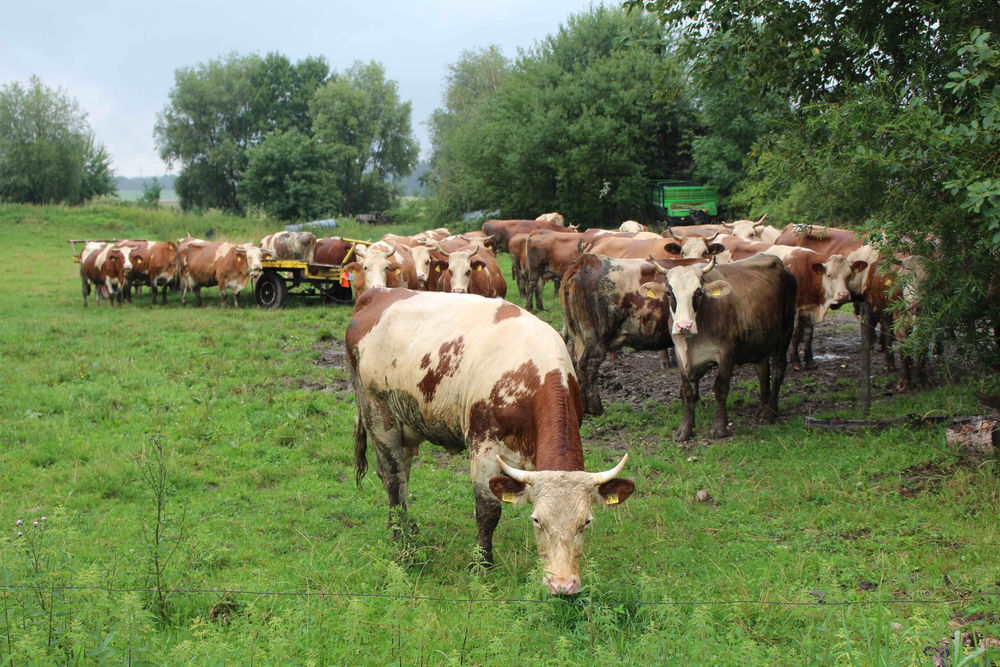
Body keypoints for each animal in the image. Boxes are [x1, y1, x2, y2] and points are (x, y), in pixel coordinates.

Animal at [348, 288, 636, 596]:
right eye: (537, 520)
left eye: (586, 522)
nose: (563, 585)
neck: (533, 375)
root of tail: (379, 292)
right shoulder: (484, 446)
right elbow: (488, 509)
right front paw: (482, 564)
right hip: (379, 416)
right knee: (392, 475)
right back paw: (402, 539)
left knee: (401, 474)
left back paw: (407, 528)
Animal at [564, 253, 704, 414]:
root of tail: (587, 260)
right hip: (595, 338)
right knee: (588, 365)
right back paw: (596, 408)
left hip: (578, 336)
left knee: (575, 363)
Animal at [648, 256, 796, 444]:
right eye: (669, 293)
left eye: (699, 293)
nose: (684, 326)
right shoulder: (681, 355)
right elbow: (687, 393)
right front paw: (685, 430)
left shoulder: (726, 353)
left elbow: (720, 389)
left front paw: (719, 428)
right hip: (760, 340)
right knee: (763, 371)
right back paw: (763, 407)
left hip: (784, 335)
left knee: (778, 370)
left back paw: (770, 412)